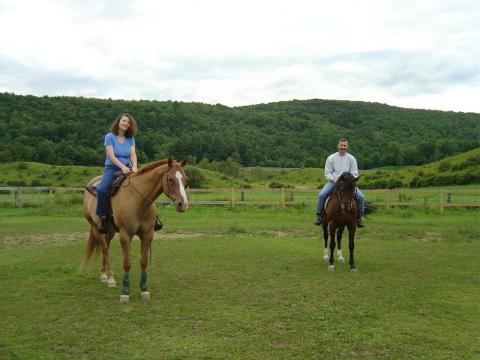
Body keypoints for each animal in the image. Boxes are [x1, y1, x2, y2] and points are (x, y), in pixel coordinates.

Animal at [81, 159, 188, 302]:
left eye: (185, 179)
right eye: (170, 179)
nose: (183, 204)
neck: (137, 200)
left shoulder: (147, 235)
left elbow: (143, 262)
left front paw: (144, 290)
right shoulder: (125, 235)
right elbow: (127, 264)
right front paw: (125, 293)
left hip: (109, 231)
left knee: (107, 246)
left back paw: (104, 275)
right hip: (96, 228)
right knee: (104, 249)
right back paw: (110, 279)